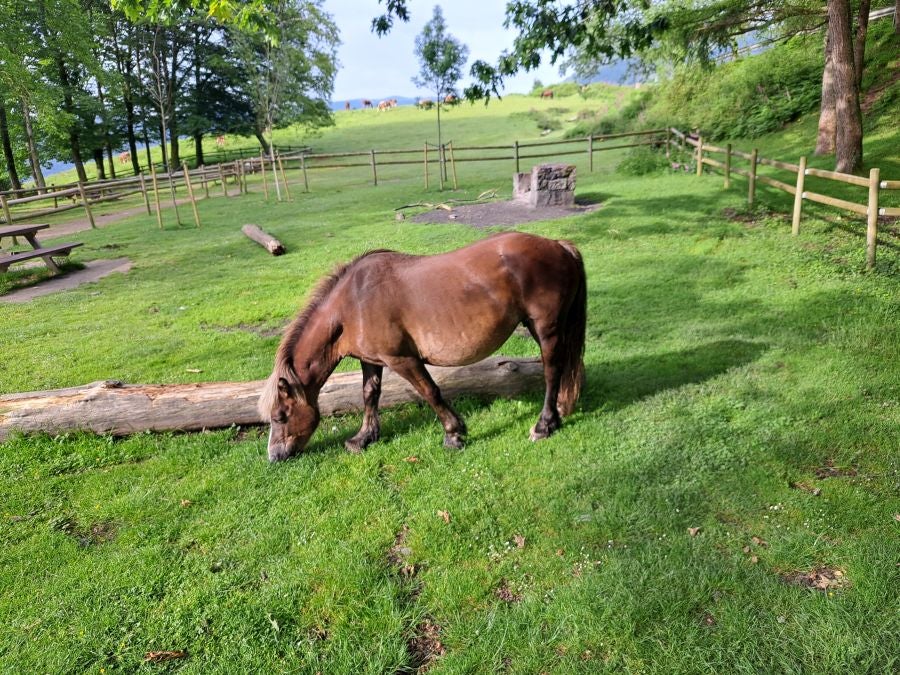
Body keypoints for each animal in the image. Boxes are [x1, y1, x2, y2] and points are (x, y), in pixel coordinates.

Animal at [256, 230, 588, 462]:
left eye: (279, 416)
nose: (274, 457)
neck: (354, 303)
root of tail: (558, 245)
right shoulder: (371, 360)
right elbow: (369, 395)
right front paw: (363, 438)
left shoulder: (403, 359)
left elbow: (430, 391)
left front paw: (454, 434)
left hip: (545, 328)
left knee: (552, 370)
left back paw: (544, 425)